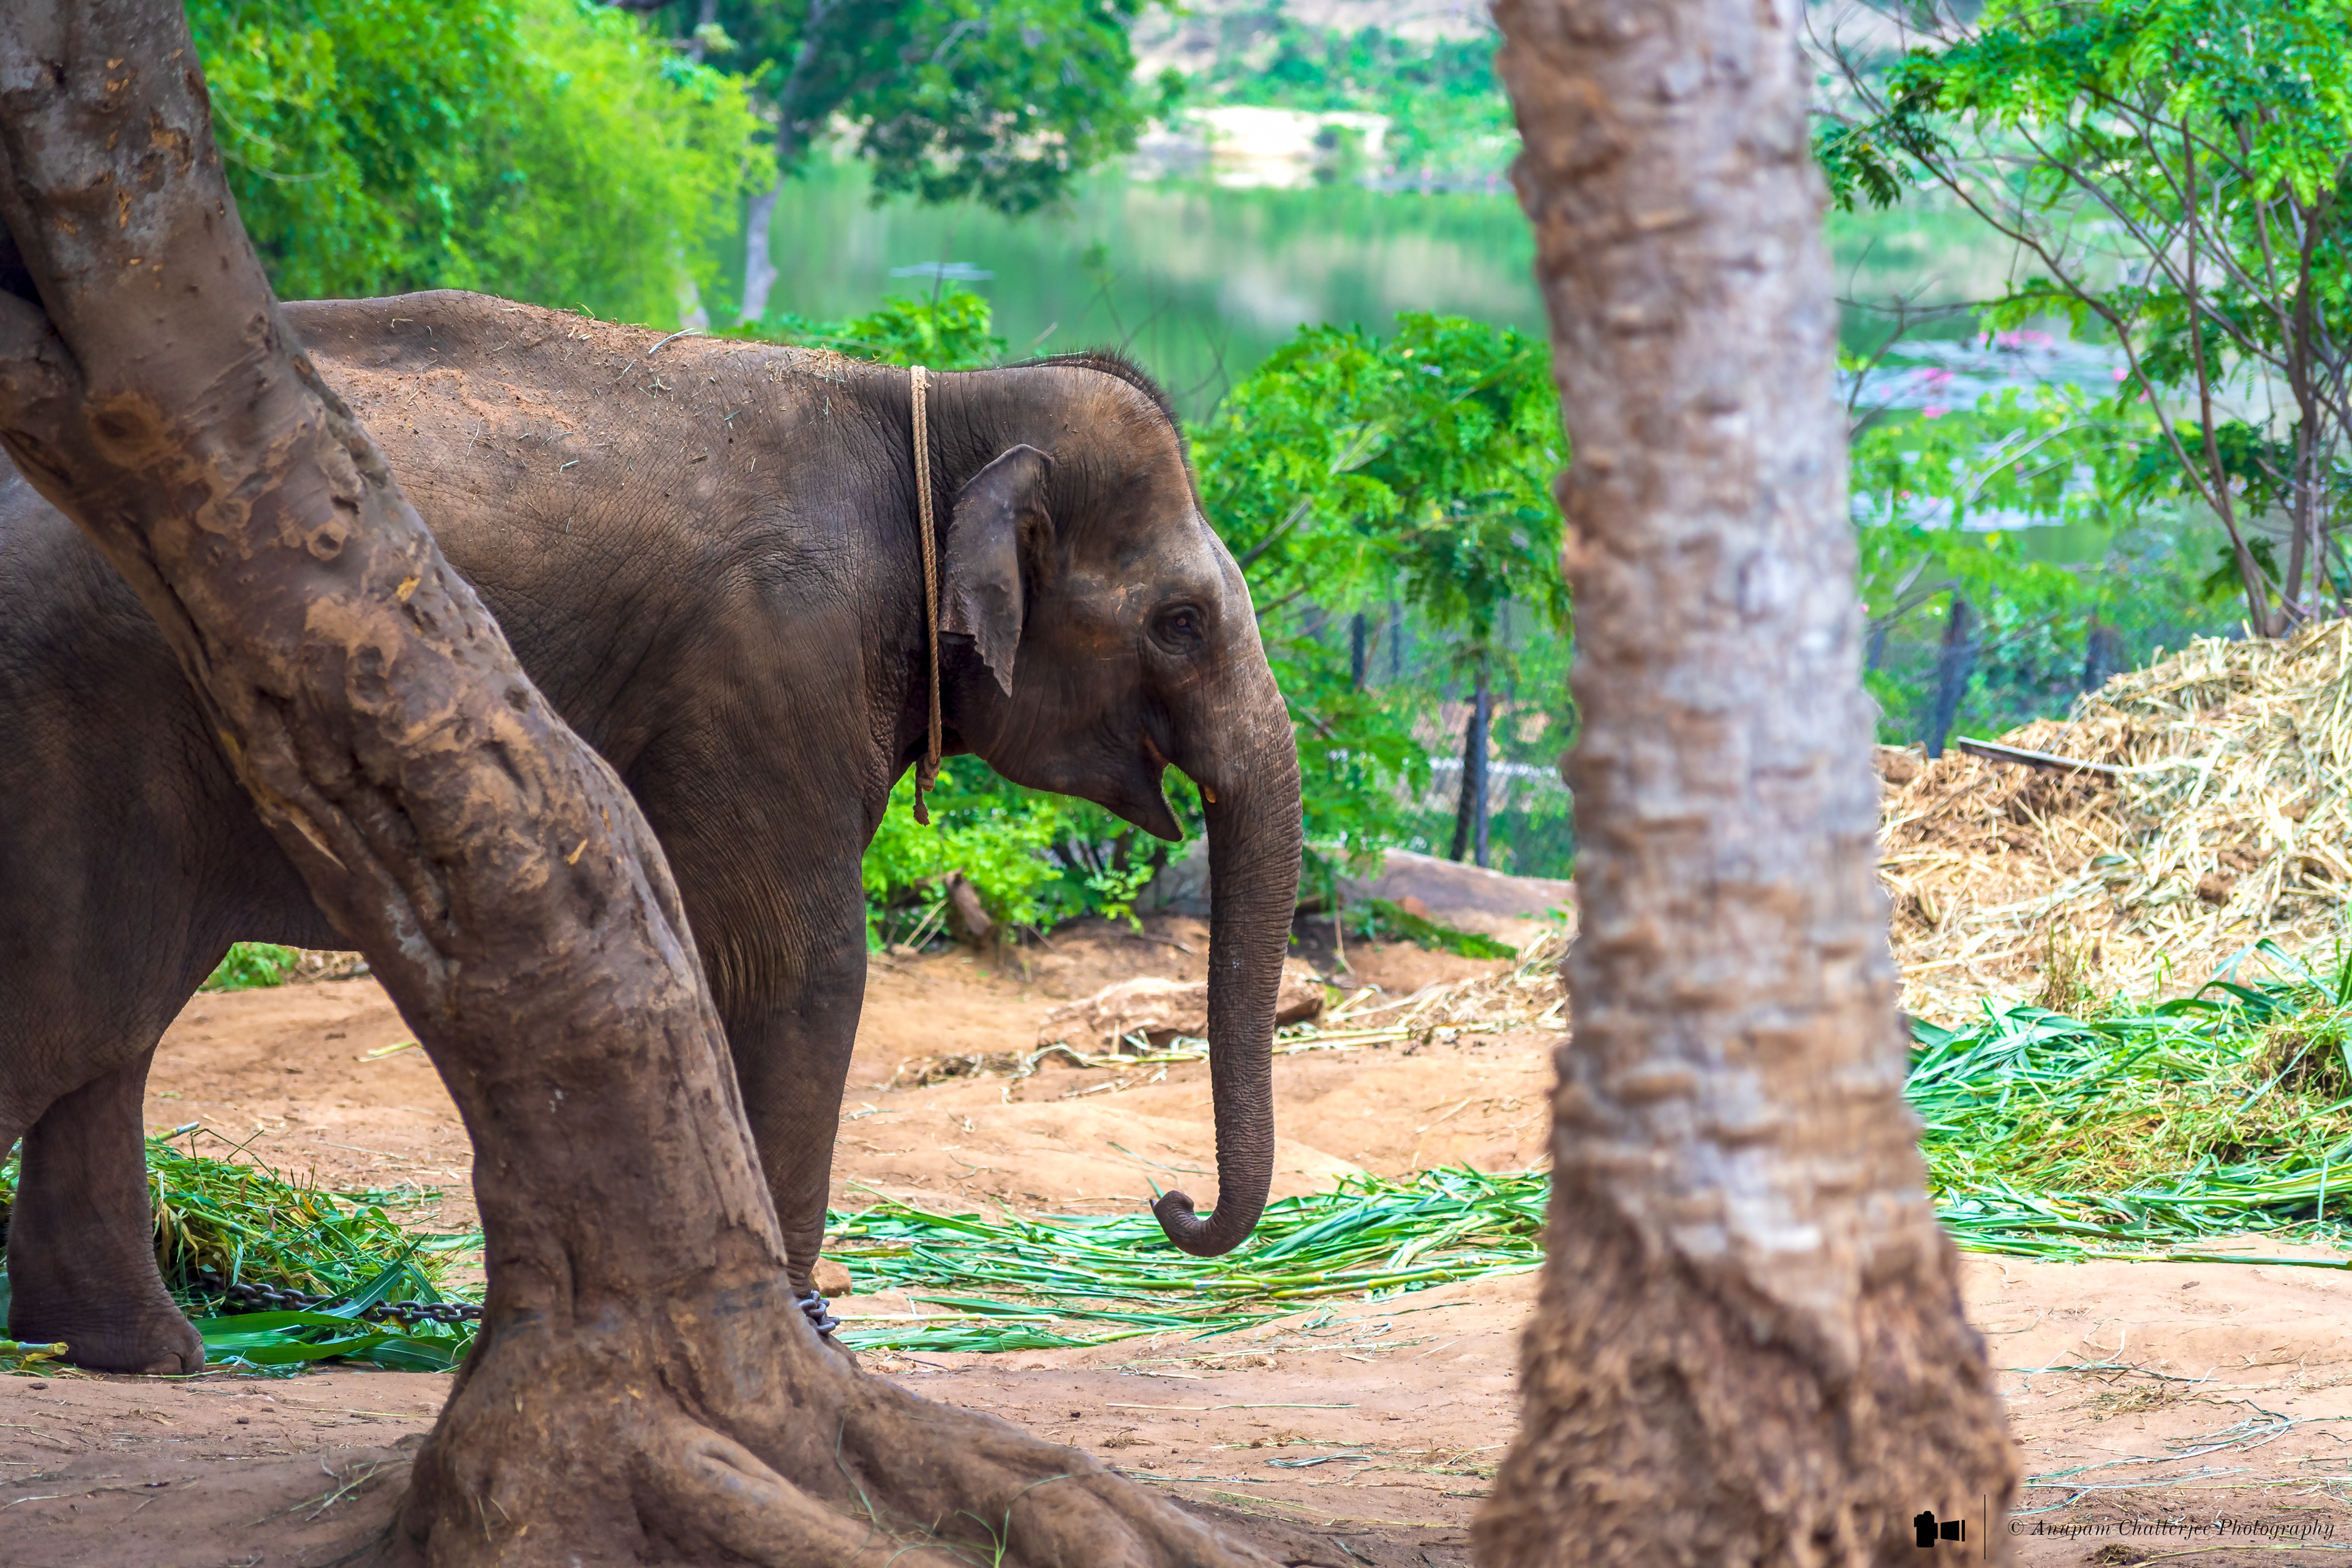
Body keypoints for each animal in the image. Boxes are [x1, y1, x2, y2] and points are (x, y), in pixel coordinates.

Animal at [0, 290, 1303, 1374]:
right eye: (1182, 622)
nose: (1169, 1206)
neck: (925, 411)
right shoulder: (773, 654)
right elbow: (795, 969)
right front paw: (808, 1343)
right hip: (81, 719)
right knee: (75, 1011)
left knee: (106, 1022)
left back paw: (140, 1354)